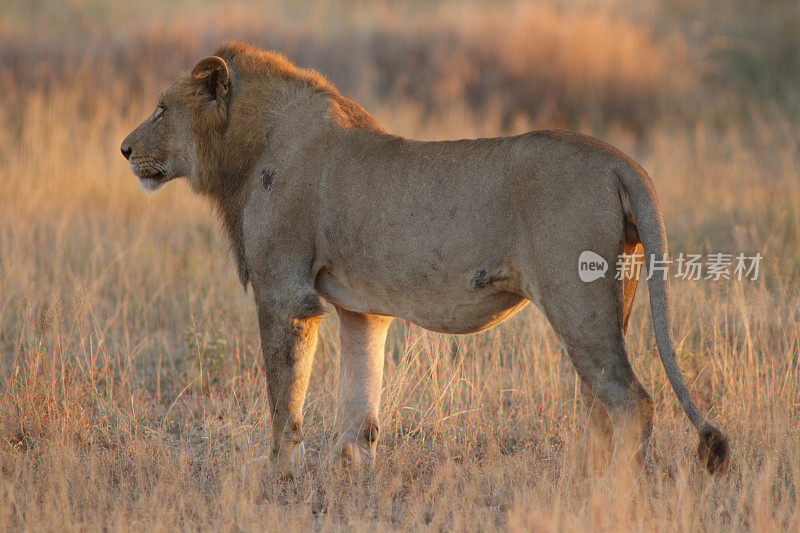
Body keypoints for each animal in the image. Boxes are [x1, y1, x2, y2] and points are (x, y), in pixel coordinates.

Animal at [122, 40, 728, 474]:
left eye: (161, 109)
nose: (125, 149)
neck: (244, 152)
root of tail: (620, 160)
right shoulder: (362, 309)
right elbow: (359, 401)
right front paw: (349, 473)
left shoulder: (285, 295)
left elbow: (283, 399)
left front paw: (279, 476)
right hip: (612, 300)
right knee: (602, 405)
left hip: (577, 303)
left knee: (632, 402)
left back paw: (612, 491)